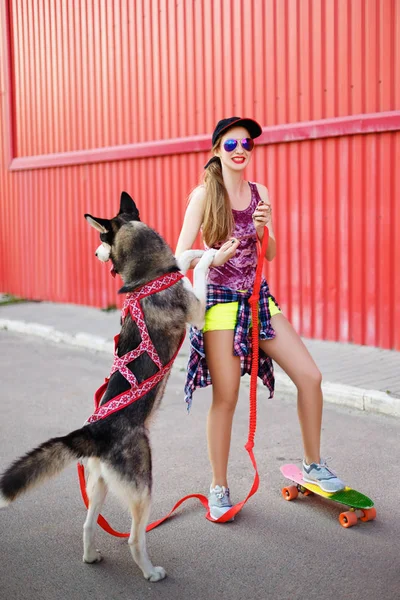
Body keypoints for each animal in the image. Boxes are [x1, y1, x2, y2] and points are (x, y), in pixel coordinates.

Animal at [0, 192, 214, 580]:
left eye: (100, 240)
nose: (95, 254)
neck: (148, 275)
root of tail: (93, 431)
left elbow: (183, 260)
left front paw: (190, 252)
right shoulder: (196, 312)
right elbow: (200, 276)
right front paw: (205, 257)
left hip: (98, 483)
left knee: (87, 525)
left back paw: (90, 556)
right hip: (143, 487)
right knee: (134, 537)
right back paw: (150, 571)